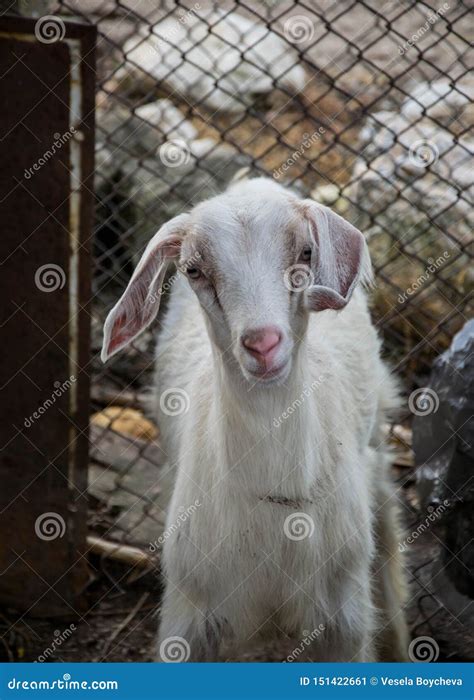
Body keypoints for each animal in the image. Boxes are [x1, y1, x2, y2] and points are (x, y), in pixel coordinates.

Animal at [102, 178, 410, 660]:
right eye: (193, 269)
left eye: (306, 252)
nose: (263, 343)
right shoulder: (189, 618)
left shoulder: (341, 625)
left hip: (377, 434)